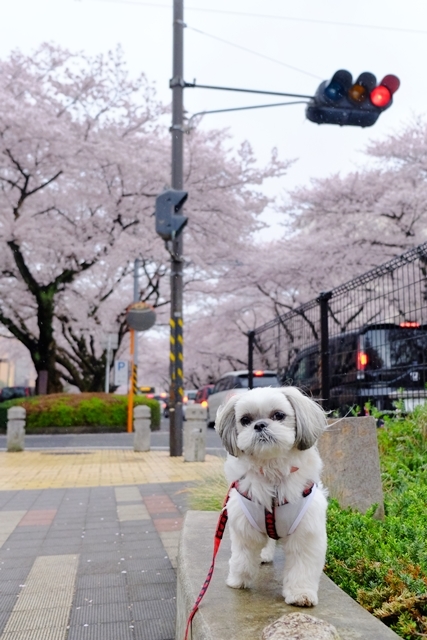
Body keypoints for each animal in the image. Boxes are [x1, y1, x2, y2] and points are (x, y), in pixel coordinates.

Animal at [216, 388, 330, 608]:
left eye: (278, 415)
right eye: (245, 420)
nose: (259, 425)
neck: (272, 472)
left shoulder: (306, 531)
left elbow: (302, 566)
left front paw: (300, 594)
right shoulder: (245, 523)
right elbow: (243, 555)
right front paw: (238, 580)